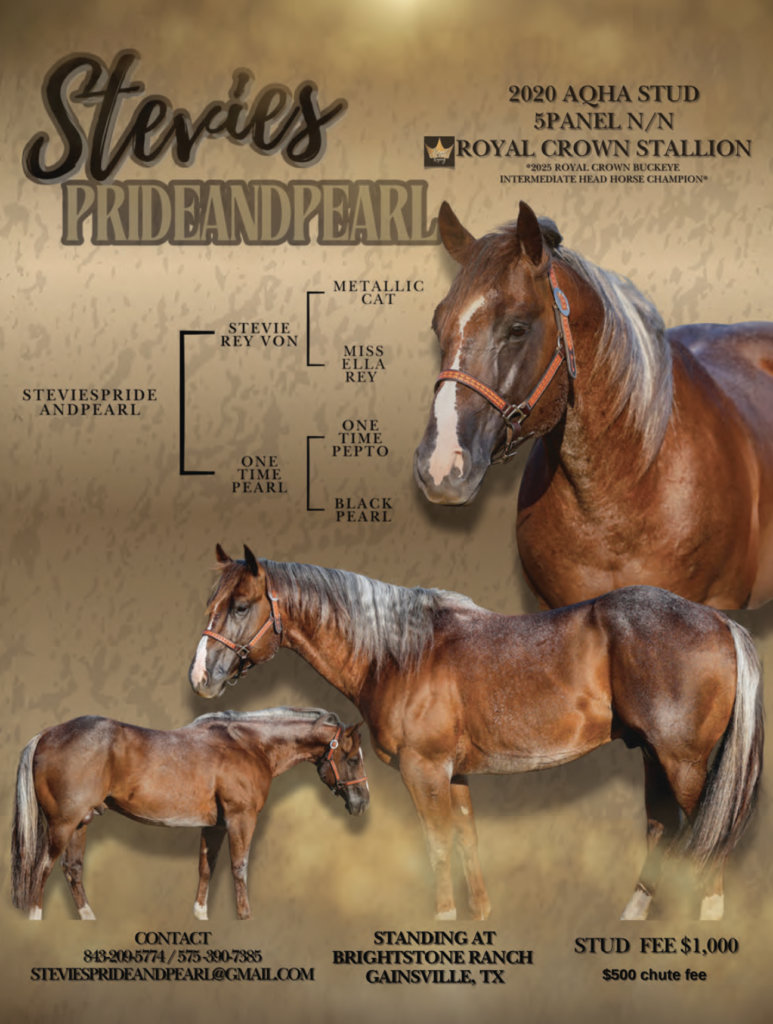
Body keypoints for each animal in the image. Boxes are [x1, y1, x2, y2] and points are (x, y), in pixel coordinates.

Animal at [12, 707, 368, 921]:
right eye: (352, 758)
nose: (362, 801)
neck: (249, 746)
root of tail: (46, 735)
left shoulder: (216, 826)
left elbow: (206, 868)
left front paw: (200, 915)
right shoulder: (241, 819)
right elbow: (239, 867)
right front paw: (245, 917)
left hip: (81, 823)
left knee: (71, 869)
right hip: (63, 824)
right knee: (41, 869)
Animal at [189, 545, 763, 922]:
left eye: (241, 606)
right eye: (211, 604)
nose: (201, 677)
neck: (400, 654)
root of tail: (719, 622)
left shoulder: (424, 771)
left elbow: (438, 843)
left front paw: (443, 918)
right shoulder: (455, 773)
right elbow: (466, 839)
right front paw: (479, 916)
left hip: (684, 763)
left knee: (711, 830)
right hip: (653, 757)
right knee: (662, 827)